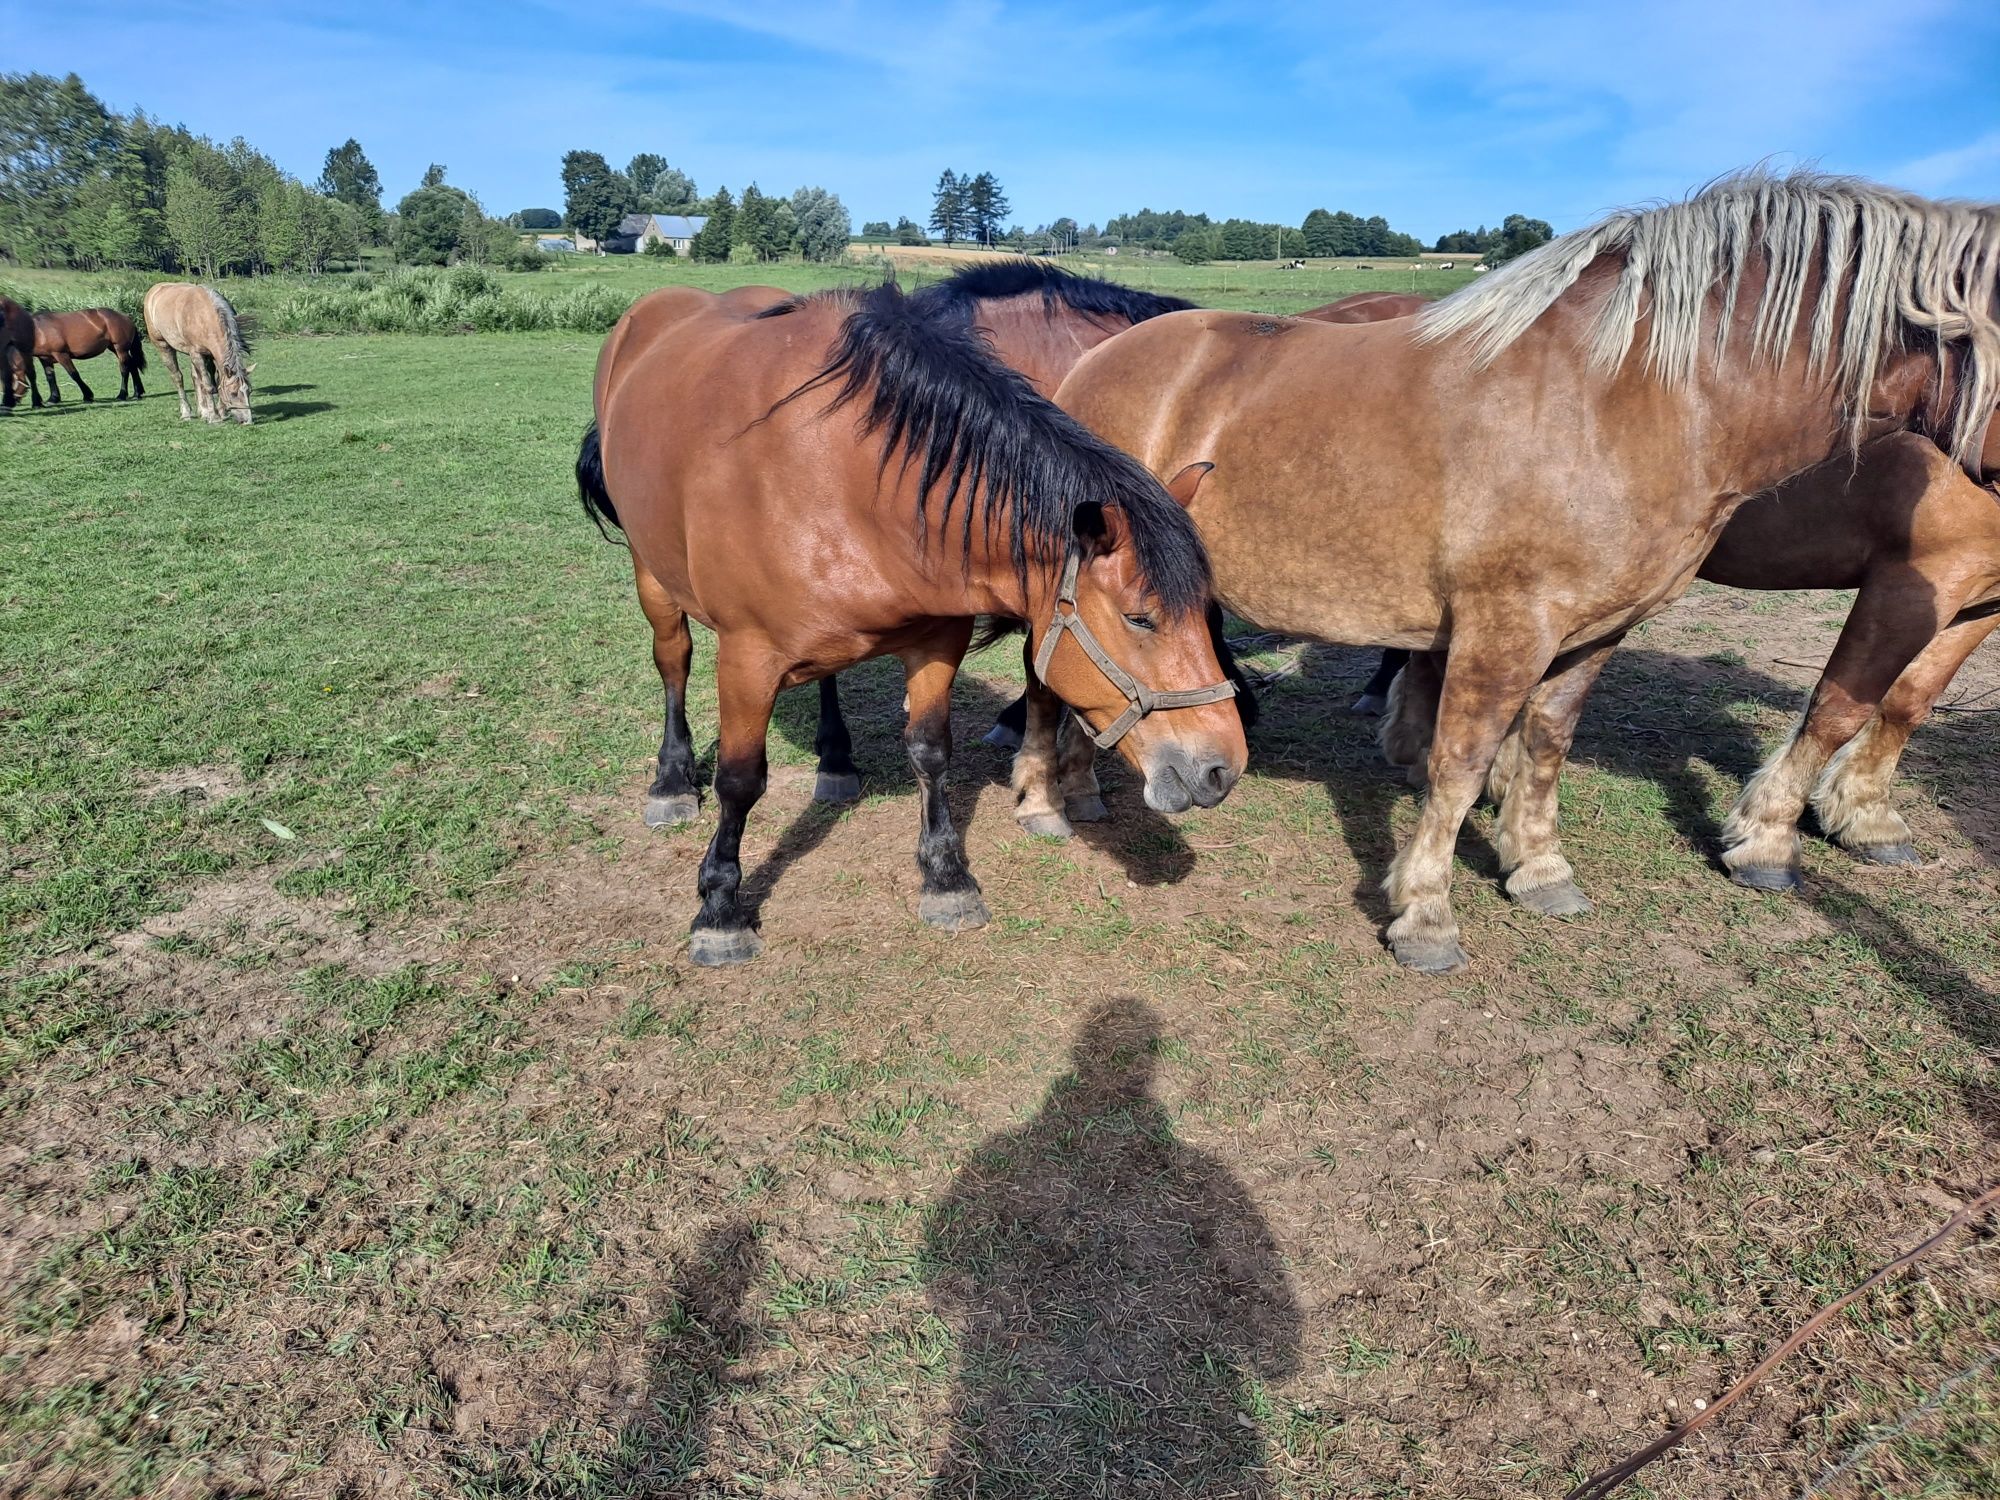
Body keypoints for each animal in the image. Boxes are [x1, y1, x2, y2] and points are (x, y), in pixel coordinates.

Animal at [576, 278, 1248, 968]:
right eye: (1140, 618)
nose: (1223, 768)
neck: (845, 481)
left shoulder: (935, 642)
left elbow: (930, 752)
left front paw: (946, 878)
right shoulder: (747, 660)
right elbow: (739, 781)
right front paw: (718, 908)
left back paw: (835, 761)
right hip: (652, 575)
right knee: (673, 661)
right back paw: (671, 782)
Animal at [1056, 173, 1992, 976]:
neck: (1636, 401)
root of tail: (1096, 359)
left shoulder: (1595, 629)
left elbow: (1546, 742)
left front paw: (1538, 869)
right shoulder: (1507, 627)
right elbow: (1463, 761)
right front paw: (1425, 913)